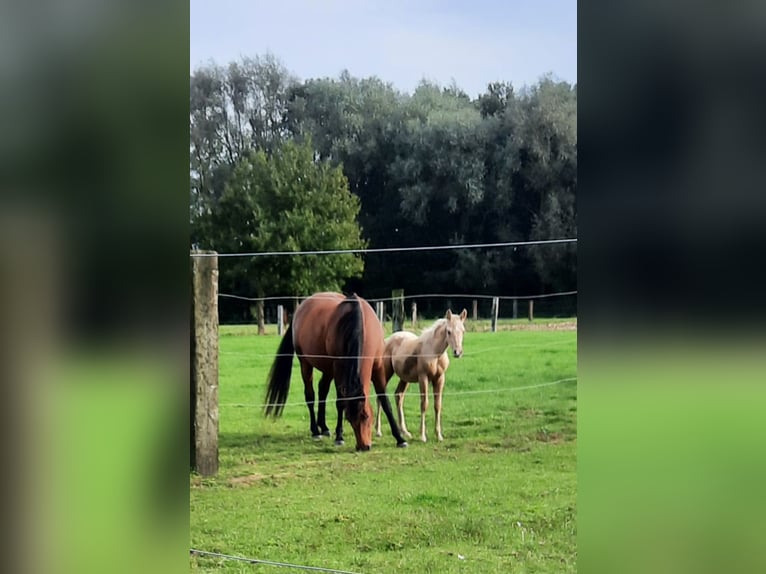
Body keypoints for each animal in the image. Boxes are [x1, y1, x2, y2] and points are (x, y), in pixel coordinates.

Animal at [264, 294, 408, 452]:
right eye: (349, 419)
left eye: (365, 416)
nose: (363, 446)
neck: (360, 325)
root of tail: (300, 308)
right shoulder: (339, 368)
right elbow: (340, 403)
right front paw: (339, 437)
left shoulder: (378, 368)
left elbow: (385, 401)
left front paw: (400, 439)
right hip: (306, 364)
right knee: (310, 395)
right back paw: (316, 431)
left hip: (328, 369)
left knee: (322, 390)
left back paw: (324, 427)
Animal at [376, 310, 468, 440]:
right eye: (449, 331)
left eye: (463, 331)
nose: (458, 352)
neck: (435, 352)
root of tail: (387, 340)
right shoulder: (423, 378)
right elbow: (424, 404)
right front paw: (423, 436)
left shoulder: (440, 378)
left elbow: (437, 405)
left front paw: (439, 435)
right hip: (386, 372)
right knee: (380, 396)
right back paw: (378, 431)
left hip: (405, 379)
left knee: (398, 395)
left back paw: (405, 432)